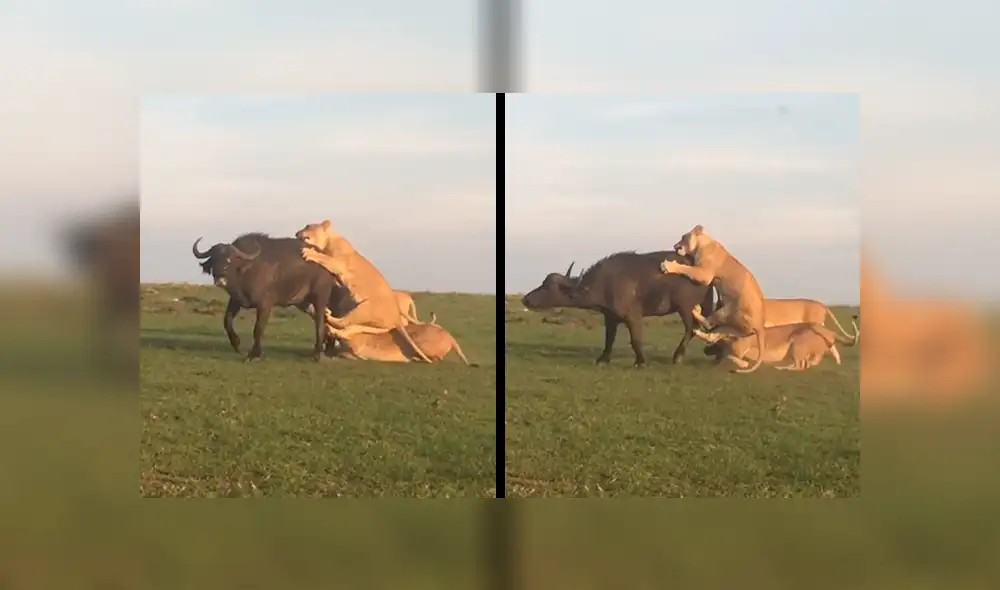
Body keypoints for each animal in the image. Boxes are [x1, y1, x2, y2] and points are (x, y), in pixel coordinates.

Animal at [191, 232, 358, 362]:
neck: (247, 270)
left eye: (230, 259)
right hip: (304, 303)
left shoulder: (265, 304)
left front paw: (255, 354)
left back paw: (318, 353)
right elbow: (227, 320)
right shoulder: (236, 300)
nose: (220, 277)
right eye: (214, 258)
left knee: (319, 321)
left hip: (320, 297)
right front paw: (237, 344)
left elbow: (258, 328)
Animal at [295, 219, 434, 363]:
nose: (296, 233)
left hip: (365, 309)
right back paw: (336, 328)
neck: (328, 240)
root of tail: (397, 317)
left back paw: (328, 315)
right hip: (377, 326)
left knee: (343, 321)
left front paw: (309, 252)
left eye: (307, 226)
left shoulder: (338, 264)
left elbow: (324, 258)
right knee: (352, 327)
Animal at [521, 251, 716, 367]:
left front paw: (641, 361)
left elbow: (635, 339)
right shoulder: (610, 318)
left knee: (691, 329)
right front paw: (603, 359)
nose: (526, 299)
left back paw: (678, 356)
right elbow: (609, 339)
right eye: (543, 283)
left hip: (686, 308)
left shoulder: (633, 317)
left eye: (548, 287)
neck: (605, 283)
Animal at [660, 224, 767, 373]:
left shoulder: (704, 274)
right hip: (733, 327)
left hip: (727, 313)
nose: (675, 245)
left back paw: (696, 311)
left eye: (683, 237)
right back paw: (698, 326)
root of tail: (761, 325)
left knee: (709, 323)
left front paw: (668, 265)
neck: (703, 243)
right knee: (712, 335)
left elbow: (686, 268)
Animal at [699, 316, 859, 371]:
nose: (704, 350)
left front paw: (743, 365)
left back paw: (781, 368)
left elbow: (732, 356)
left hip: (797, 345)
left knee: (800, 366)